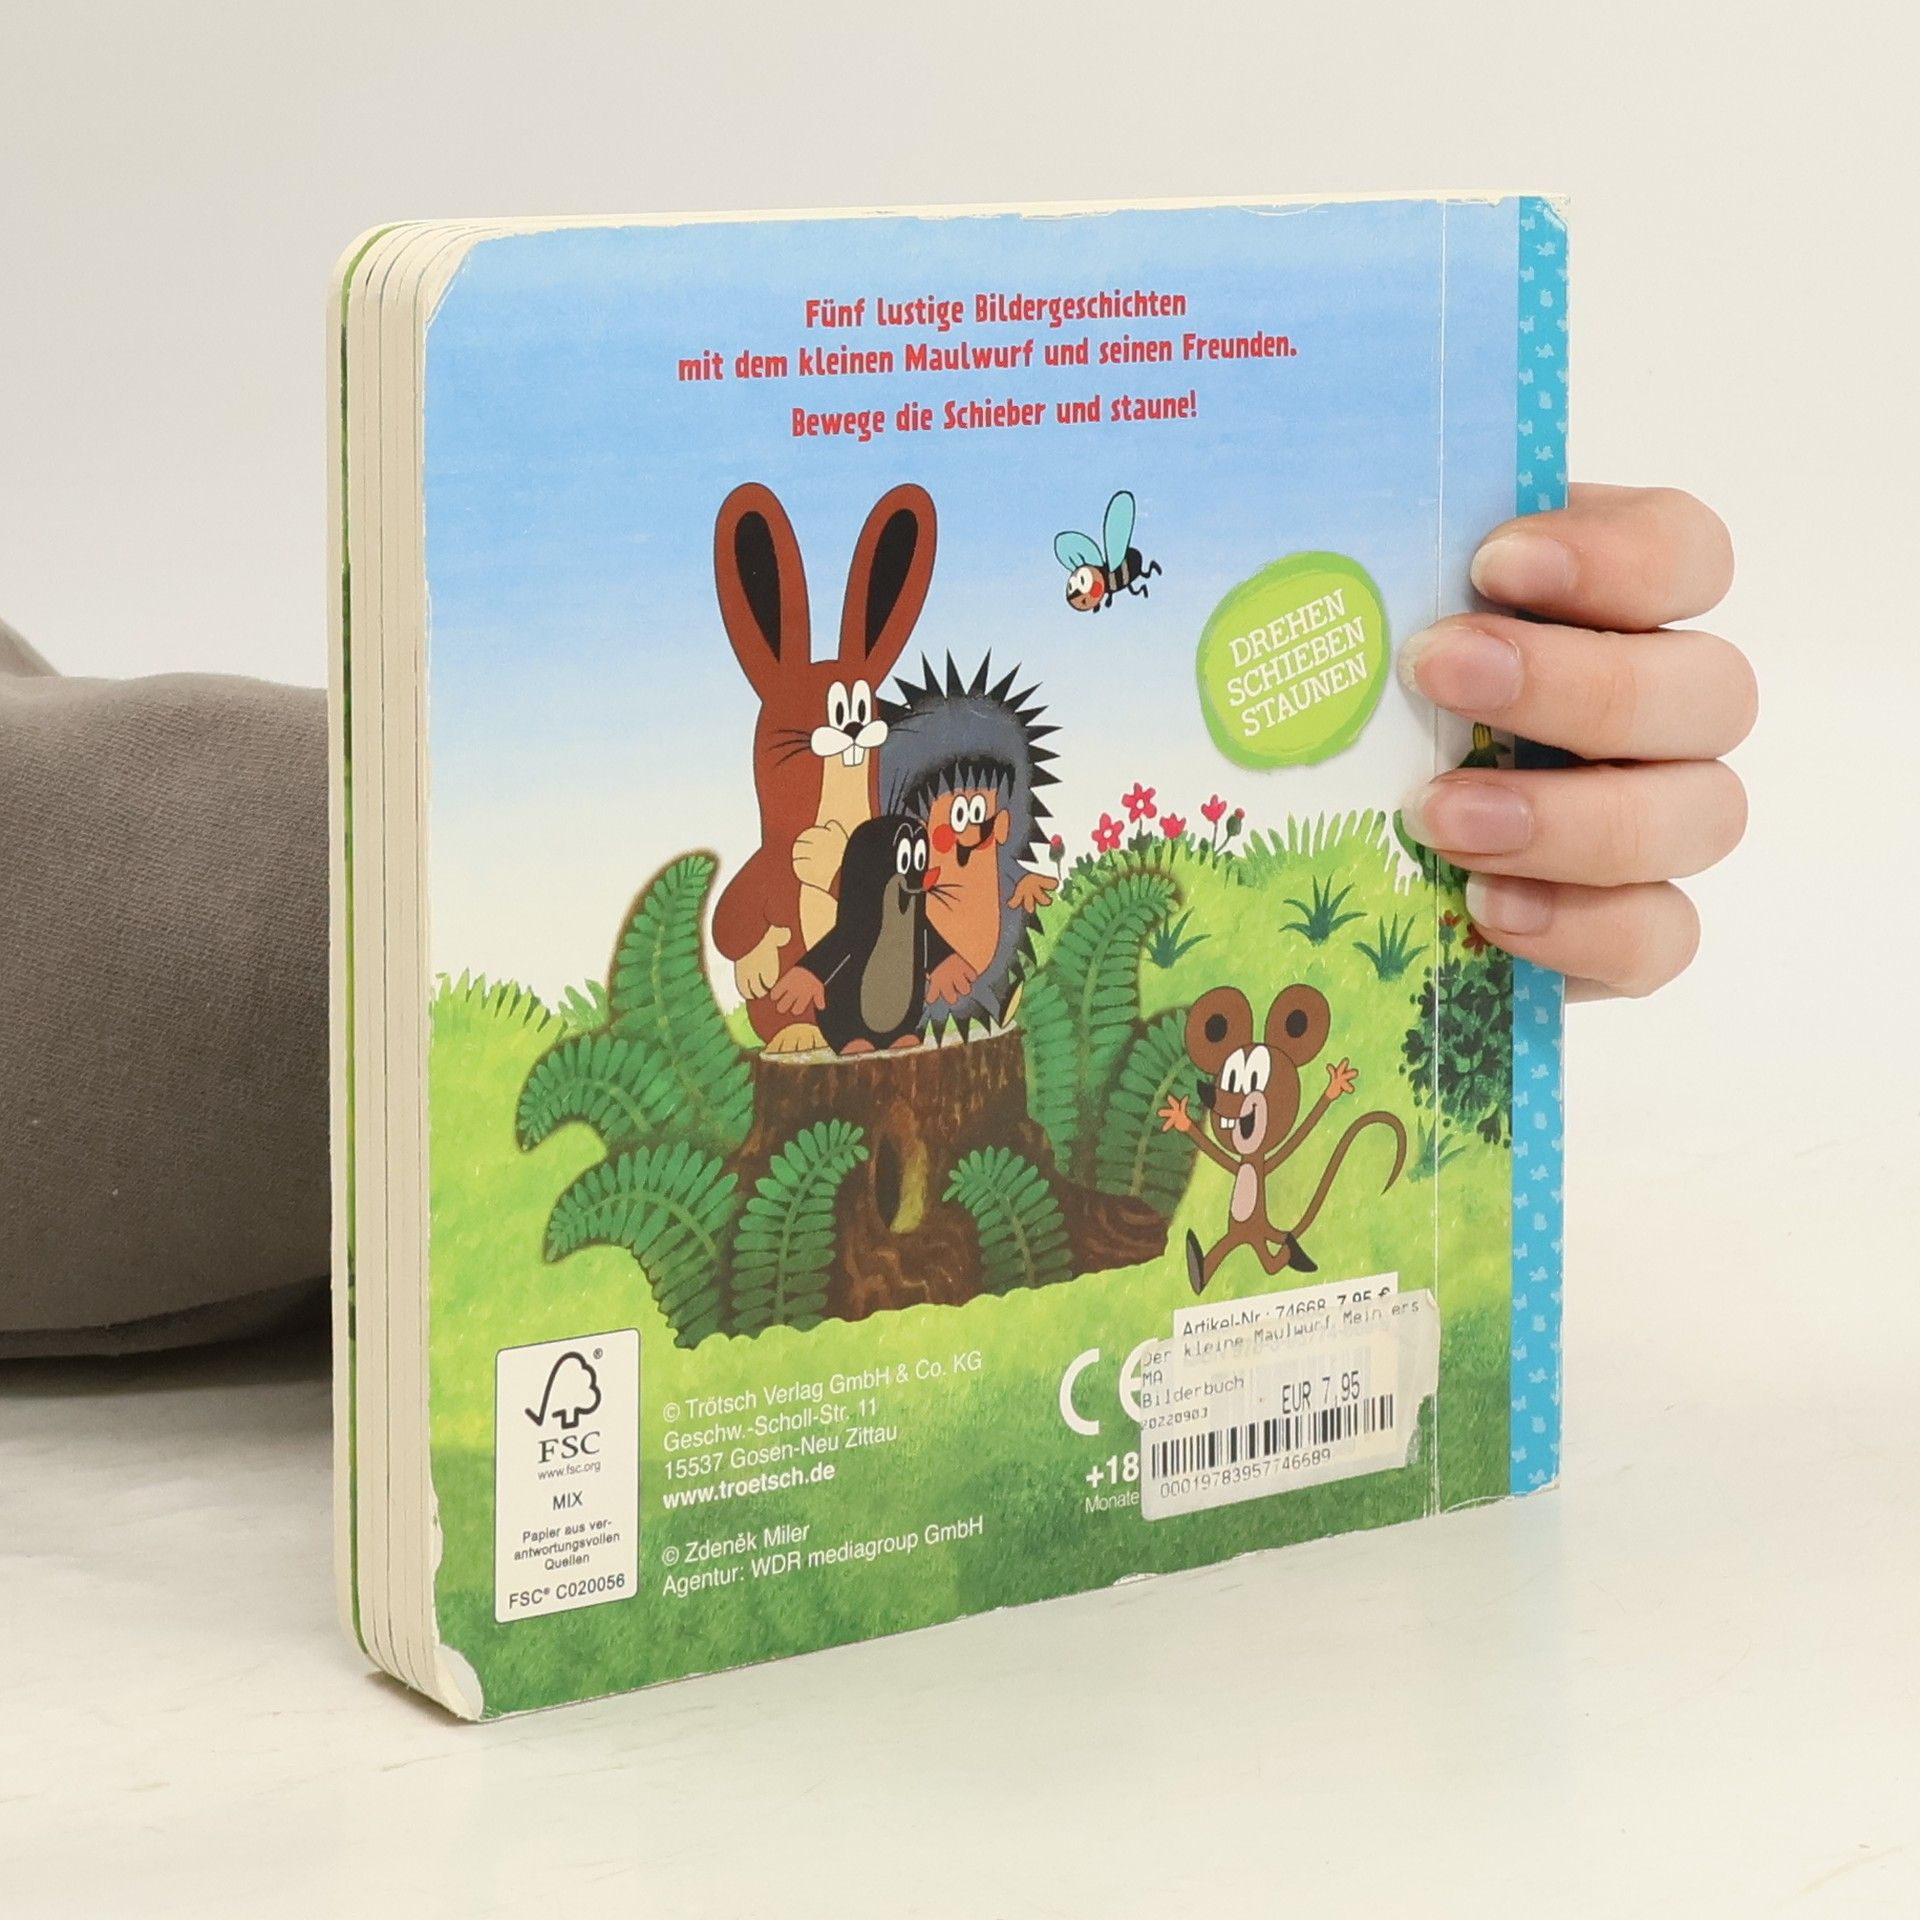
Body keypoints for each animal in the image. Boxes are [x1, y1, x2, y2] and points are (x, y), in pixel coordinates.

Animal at [710, 481, 937, 1052]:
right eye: (836, 708)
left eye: (860, 703)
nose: (854, 726)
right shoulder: (767, 865)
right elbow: (730, 917)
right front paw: (755, 963)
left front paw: (822, 853)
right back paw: (798, 1034)